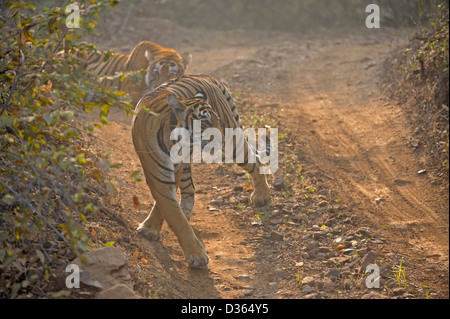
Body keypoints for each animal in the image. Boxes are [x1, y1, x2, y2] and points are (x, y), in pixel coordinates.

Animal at [131, 75, 270, 268]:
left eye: (217, 120)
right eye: (205, 122)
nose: (222, 136)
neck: (173, 140)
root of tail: (204, 76)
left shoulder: (172, 172)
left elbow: (170, 211)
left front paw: (195, 255)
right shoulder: (160, 176)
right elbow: (174, 215)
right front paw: (153, 229)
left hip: (233, 144)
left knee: (255, 160)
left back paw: (261, 196)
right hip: (187, 167)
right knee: (190, 189)